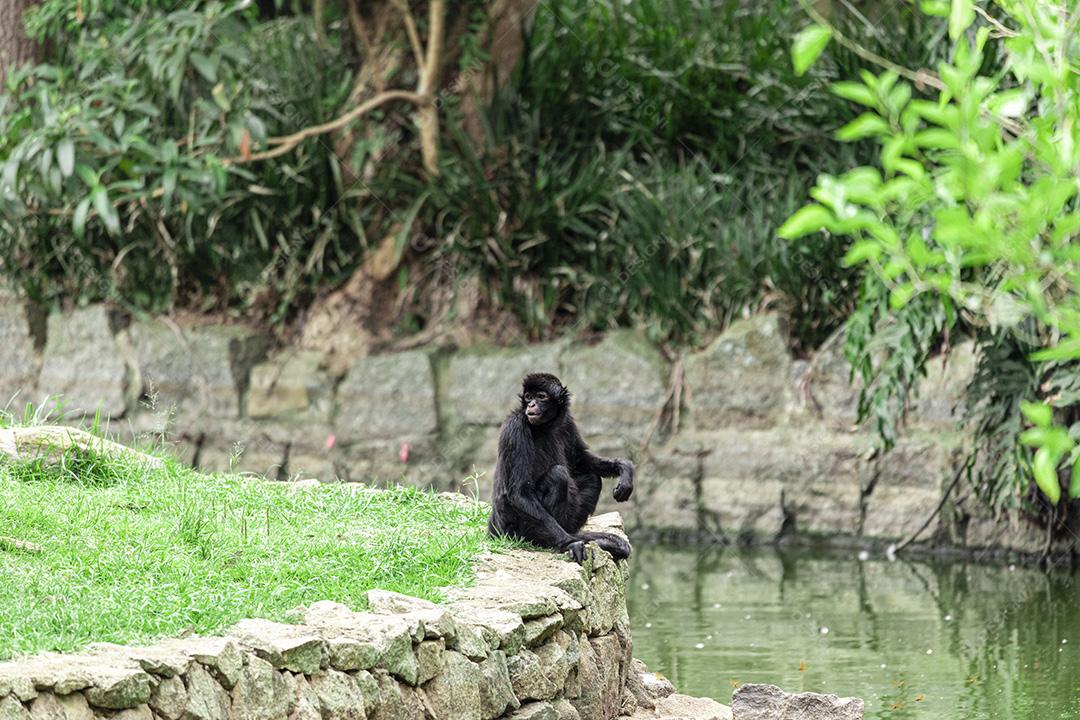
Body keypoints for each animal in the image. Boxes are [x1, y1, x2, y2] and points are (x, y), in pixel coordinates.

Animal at [487, 372, 634, 563]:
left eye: (540, 396)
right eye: (528, 397)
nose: (531, 405)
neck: (543, 427)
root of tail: (493, 525)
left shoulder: (566, 422)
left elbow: (580, 459)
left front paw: (624, 468)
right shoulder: (515, 427)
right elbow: (519, 493)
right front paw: (570, 544)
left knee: (592, 476)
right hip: (512, 527)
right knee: (558, 475)